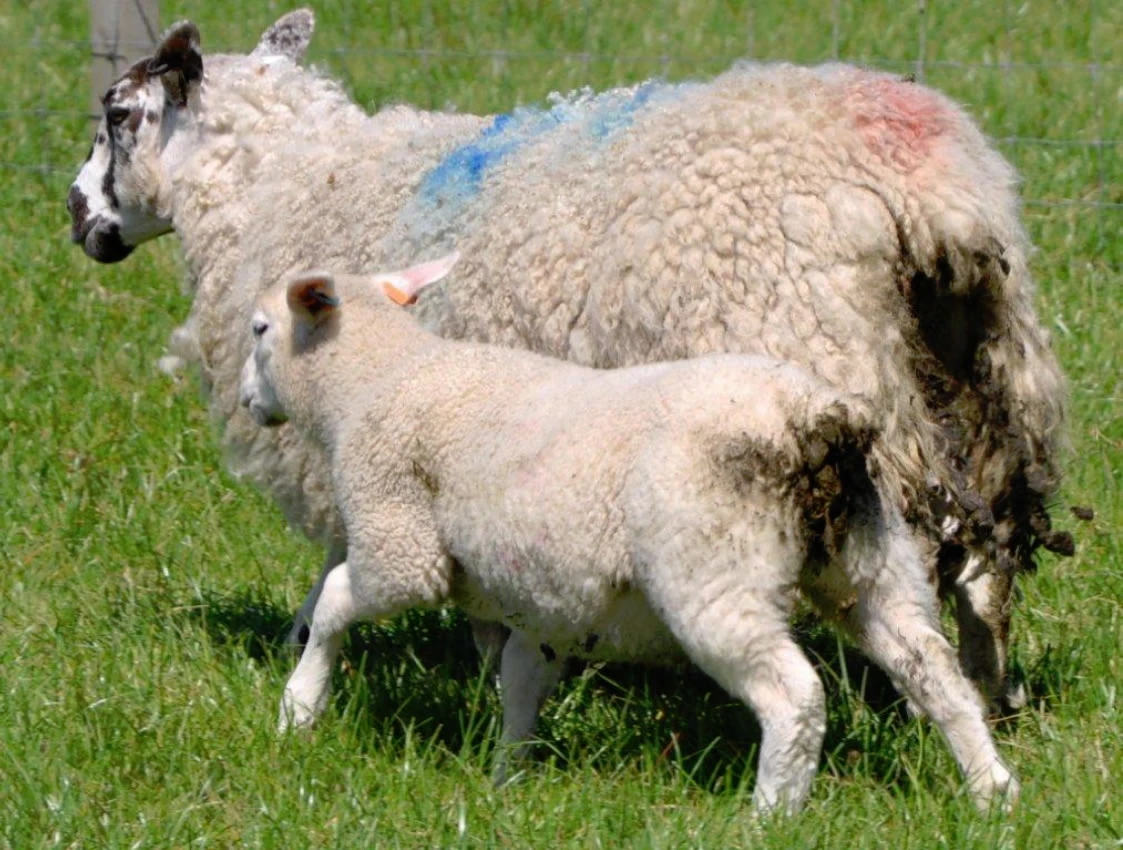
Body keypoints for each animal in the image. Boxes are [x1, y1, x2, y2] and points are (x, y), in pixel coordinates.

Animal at [65, 10, 1069, 710]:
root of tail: (925, 184)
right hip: (981, 372)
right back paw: (994, 696)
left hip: (827, 368)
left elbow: (344, 561)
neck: (286, 180)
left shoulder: (348, 434)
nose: (77, 219)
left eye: (117, 115)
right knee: (987, 556)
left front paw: (322, 651)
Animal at [236, 255, 1019, 814]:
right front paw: (505, 780)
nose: (246, 403)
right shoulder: (548, 606)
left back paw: (771, 813)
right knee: (933, 671)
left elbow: (334, 603)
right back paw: (992, 791)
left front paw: (299, 707)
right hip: (870, 559)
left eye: (258, 330)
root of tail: (815, 418)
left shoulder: (399, 542)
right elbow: (520, 683)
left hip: (713, 571)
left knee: (793, 695)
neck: (376, 380)